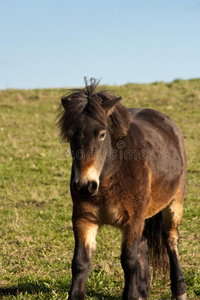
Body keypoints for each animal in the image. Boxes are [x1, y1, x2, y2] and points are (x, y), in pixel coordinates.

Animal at [57, 78, 188, 298]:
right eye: (70, 136)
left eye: (102, 134)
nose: (84, 186)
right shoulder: (84, 219)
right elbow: (80, 263)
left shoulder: (131, 221)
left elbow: (129, 261)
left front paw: (131, 294)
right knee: (144, 245)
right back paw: (143, 291)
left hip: (174, 204)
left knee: (171, 240)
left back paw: (179, 290)